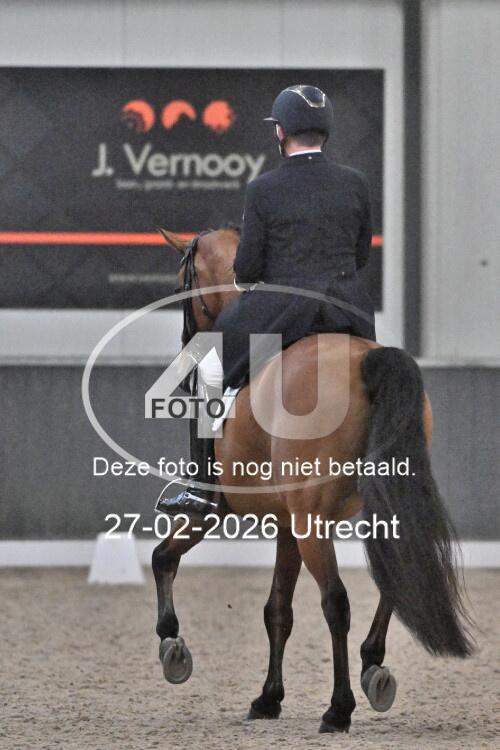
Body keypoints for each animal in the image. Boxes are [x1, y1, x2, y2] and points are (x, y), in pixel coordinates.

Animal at [152, 226, 473, 734]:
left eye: (183, 283)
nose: (187, 354)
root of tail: (366, 363)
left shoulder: (224, 511)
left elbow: (163, 557)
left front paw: (172, 646)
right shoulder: (287, 523)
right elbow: (277, 610)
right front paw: (269, 698)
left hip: (312, 524)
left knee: (336, 602)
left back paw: (339, 708)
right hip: (371, 505)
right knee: (394, 574)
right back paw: (373, 669)